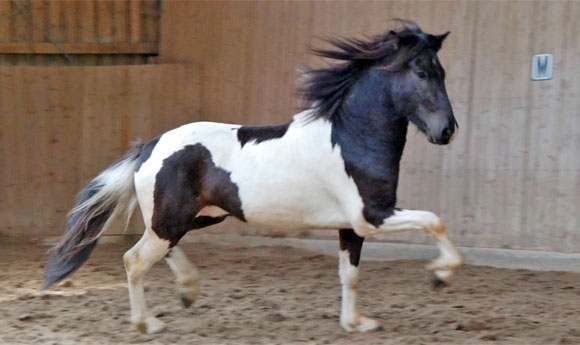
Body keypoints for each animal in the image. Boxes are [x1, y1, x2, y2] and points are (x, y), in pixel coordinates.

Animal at [44, 20, 462, 334]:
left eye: (442, 73)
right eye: (422, 72)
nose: (446, 131)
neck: (352, 138)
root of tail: (149, 146)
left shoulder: (352, 226)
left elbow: (350, 275)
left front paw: (356, 323)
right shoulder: (372, 216)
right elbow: (435, 221)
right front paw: (440, 275)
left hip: (197, 216)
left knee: (161, 249)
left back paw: (188, 291)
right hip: (174, 219)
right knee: (135, 259)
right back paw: (148, 323)